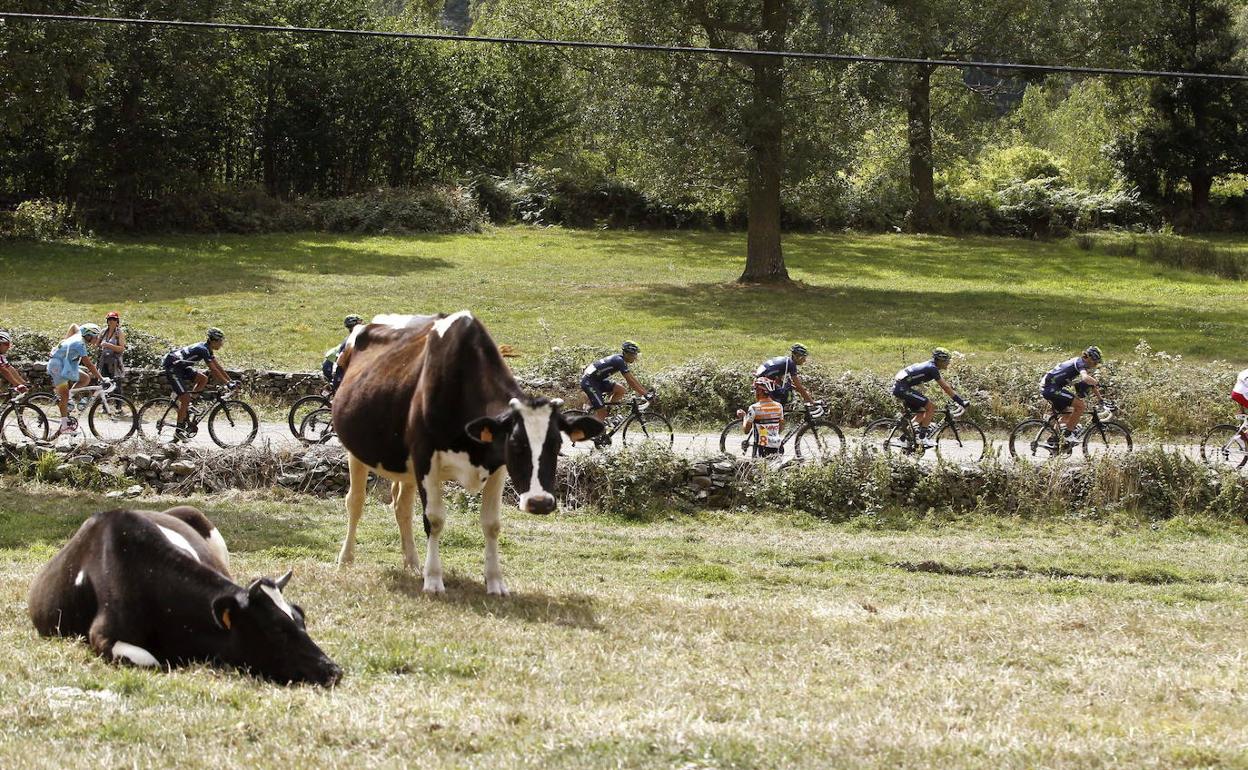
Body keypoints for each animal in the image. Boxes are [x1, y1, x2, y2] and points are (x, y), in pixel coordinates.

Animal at [331, 310, 604, 594]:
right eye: (515, 444)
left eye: (557, 444)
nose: (539, 502)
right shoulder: (425, 457)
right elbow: (434, 519)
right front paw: (433, 580)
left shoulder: (497, 466)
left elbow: (492, 524)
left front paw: (495, 582)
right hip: (357, 450)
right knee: (356, 501)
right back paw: (346, 560)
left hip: (405, 464)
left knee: (402, 505)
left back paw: (412, 563)